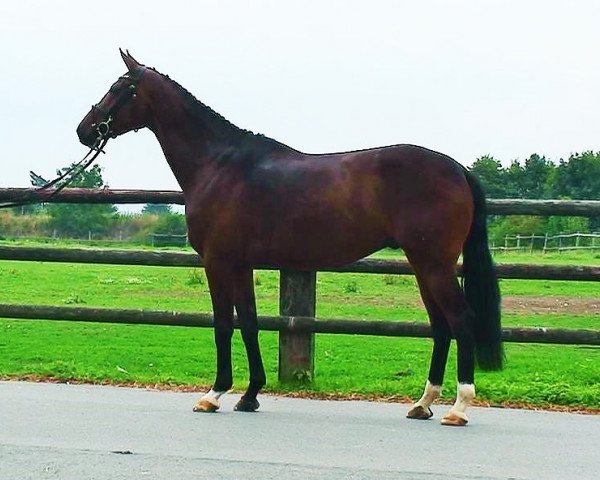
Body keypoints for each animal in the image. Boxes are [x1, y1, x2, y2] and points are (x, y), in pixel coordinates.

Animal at [77, 50, 504, 426]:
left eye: (119, 87)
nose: (84, 130)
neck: (219, 164)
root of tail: (458, 169)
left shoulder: (217, 262)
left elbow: (223, 325)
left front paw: (214, 394)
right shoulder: (241, 265)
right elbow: (250, 323)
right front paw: (250, 395)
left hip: (434, 264)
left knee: (461, 320)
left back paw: (458, 407)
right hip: (422, 264)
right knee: (440, 325)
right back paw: (423, 403)